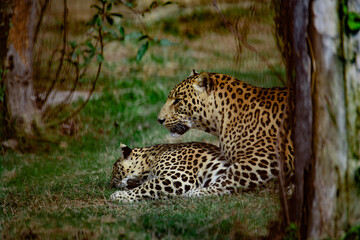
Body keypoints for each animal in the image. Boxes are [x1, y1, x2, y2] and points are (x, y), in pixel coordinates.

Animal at [108, 142, 266, 202]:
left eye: (115, 174)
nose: (111, 185)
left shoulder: (179, 177)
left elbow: (146, 186)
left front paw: (119, 195)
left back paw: (193, 193)